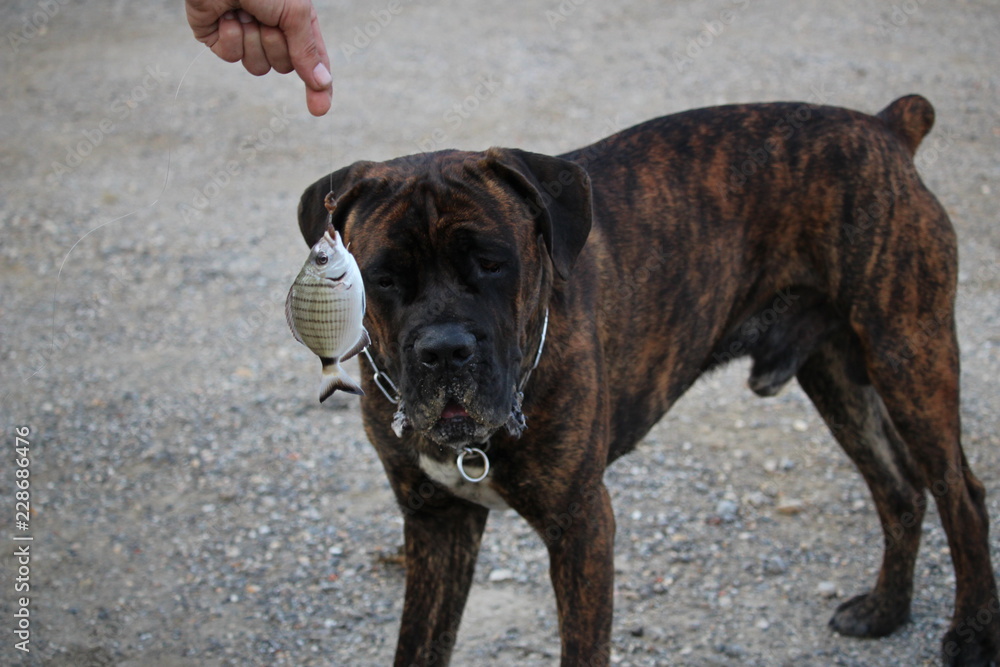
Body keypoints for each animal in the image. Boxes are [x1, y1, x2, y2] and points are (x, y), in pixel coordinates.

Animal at [292, 95, 996, 667]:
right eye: (384, 277)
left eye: (493, 263)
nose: (444, 349)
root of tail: (884, 127)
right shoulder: (436, 522)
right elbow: (419, 644)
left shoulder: (580, 524)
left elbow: (581, 648)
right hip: (838, 378)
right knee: (899, 489)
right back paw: (886, 610)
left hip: (909, 356)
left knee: (961, 494)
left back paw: (969, 636)